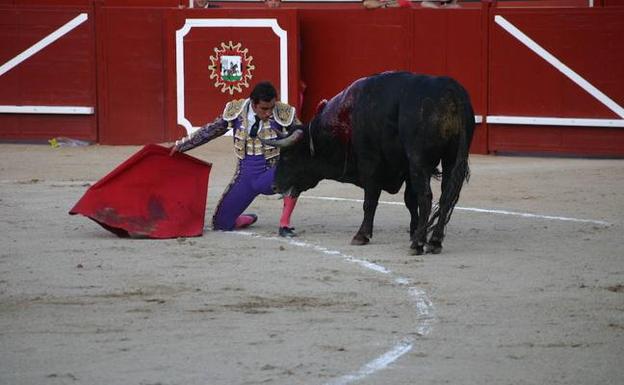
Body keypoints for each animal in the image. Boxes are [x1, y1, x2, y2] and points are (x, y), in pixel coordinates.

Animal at [262, 71, 472, 255]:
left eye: (288, 157)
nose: (274, 186)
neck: (344, 124)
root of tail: (450, 89)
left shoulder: (370, 164)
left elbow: (370, 201)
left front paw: (362, 235)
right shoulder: (405, 168)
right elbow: (409, 201)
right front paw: (413, 232)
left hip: (419, 160)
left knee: (427, 197)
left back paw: (418, 245)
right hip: (450, 158)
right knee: (446, 196)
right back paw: (434, 241)